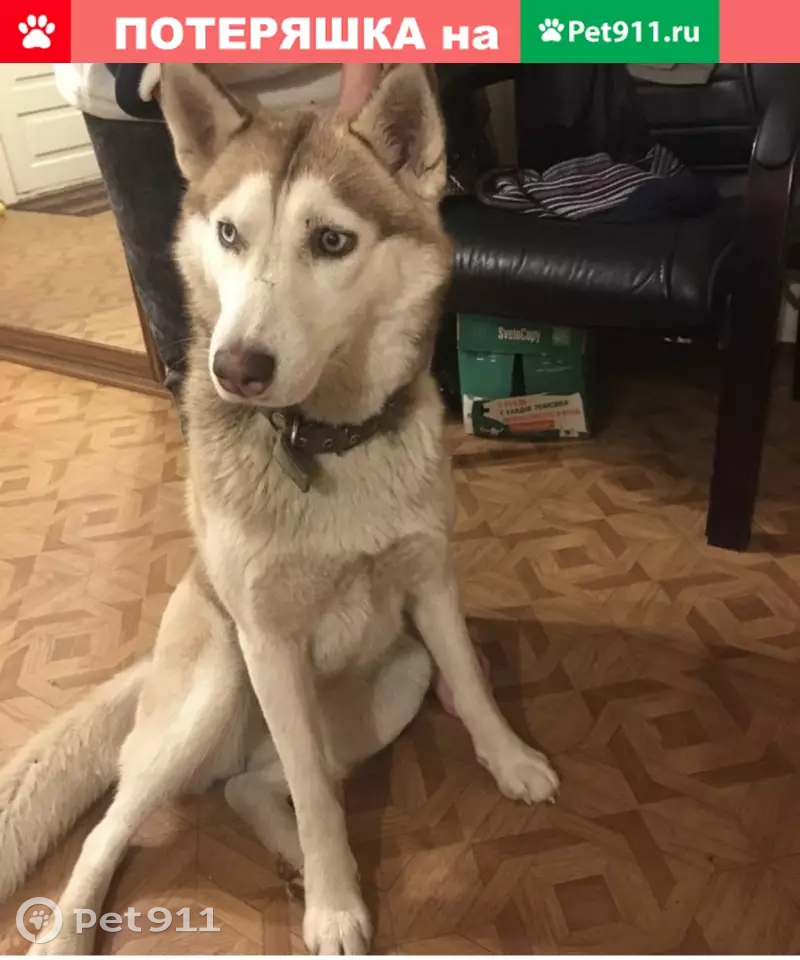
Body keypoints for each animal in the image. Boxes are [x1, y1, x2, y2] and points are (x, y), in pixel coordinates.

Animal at [0, 63, 559, 955]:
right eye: (229, 234)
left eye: (331, 242)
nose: (236, 367)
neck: (324, 439)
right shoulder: (267, 642)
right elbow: (320, 803)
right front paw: (334, 907)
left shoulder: (430, 584)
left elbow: (471, 686)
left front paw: (509, 761)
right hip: (217, 680)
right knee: (115, 823)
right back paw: (67, 932)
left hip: (397, 678)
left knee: (253, 787)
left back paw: (286, 850)